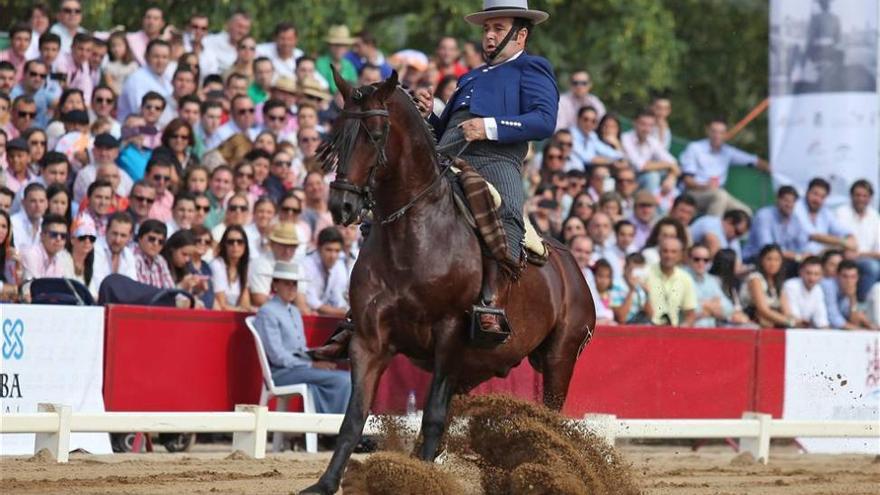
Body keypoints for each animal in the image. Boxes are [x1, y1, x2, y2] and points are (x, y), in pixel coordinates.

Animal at [300, 70, 596, 495]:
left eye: (376, 133)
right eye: (338, 134)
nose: (343, 206)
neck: (414, 235)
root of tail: (572, 267)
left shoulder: (450, 335)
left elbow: (433, 416)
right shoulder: (369, 341)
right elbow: (354, 418)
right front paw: (325, 484)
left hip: (560, 358)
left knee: (551, 422)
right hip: (476, 367)